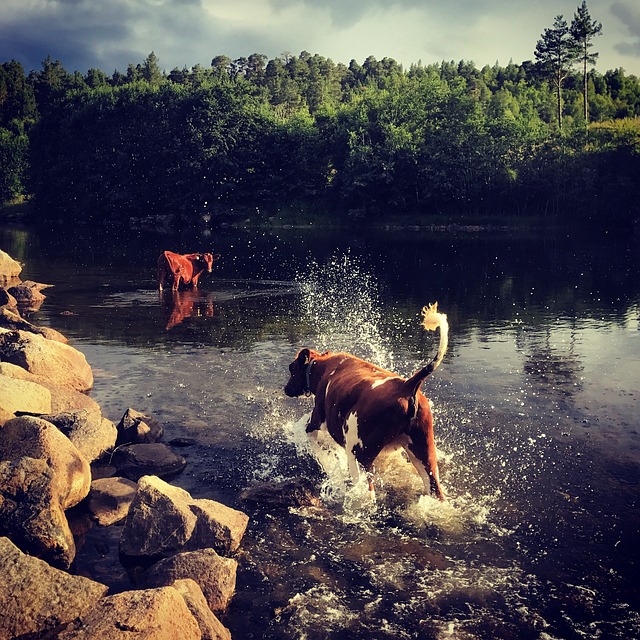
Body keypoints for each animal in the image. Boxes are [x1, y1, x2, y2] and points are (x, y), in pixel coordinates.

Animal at [284, 302, 450, 502]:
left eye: (291, 368)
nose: (286, 389)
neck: (325, 367)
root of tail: (407, 385)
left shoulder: (316, 420)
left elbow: (317, 447)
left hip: (358, 453)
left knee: (368, 492)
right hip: (424, 453)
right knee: (436, 490)